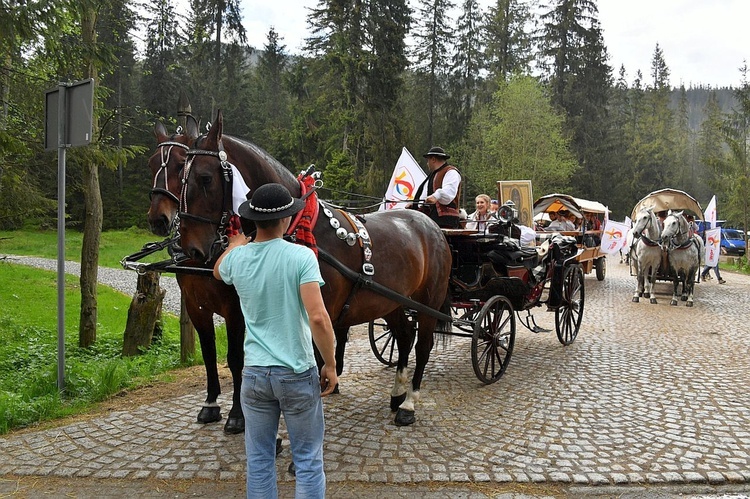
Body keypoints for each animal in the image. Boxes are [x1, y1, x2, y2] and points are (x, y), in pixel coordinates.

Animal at [150, 117, 247, 434]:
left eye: (181, 166)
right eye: (151, 163)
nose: (158, 219)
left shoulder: (235, 309)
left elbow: (236, 358)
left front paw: (238, 414)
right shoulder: (196, 305)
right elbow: (208, 353)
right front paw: (211, 403)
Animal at [179, 111, 456, 428]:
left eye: (205, 178)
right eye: (180, 176)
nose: (190, 249)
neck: (301, 223)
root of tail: (430, 225)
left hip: (427, 302)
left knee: (423, 345)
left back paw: (409, 403)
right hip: (392, 301)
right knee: (404, 337)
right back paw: (398, 393)